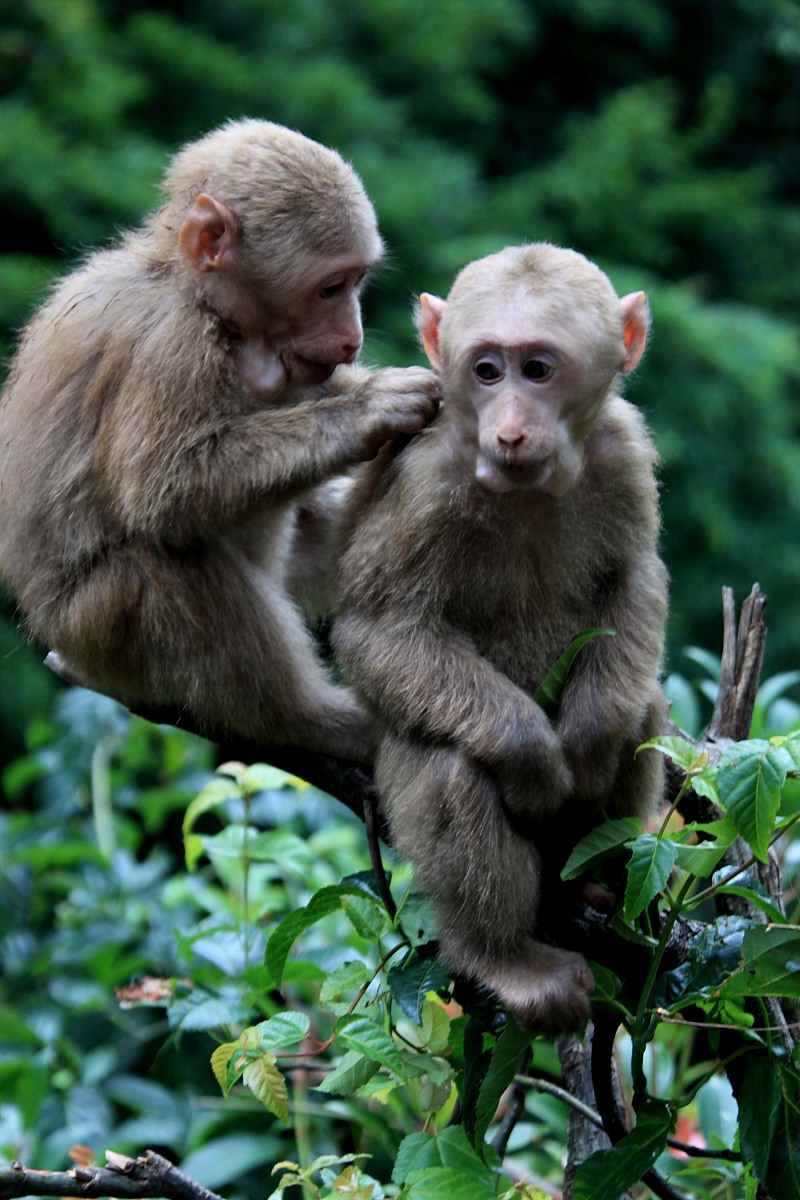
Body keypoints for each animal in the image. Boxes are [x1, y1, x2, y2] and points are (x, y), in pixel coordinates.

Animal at [0, 119, 438, 758]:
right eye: (331, 288)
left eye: (357, 282)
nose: (353, 338)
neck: (190, 289)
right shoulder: (172, 346)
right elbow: (165, 489)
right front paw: (371, 408)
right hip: (99, 631)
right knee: (169, 566)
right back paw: (313, 720)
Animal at [331, 241, 671, 1032]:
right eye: (487, 370)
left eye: (538, 369)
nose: (510, 430)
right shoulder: (427, 483)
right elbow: (377, 627)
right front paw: (530, 755)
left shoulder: (621, 450)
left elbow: (633, 578)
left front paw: (590, 736)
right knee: (451, 764)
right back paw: (504, 957)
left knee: (642, 711)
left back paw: (596, 883)